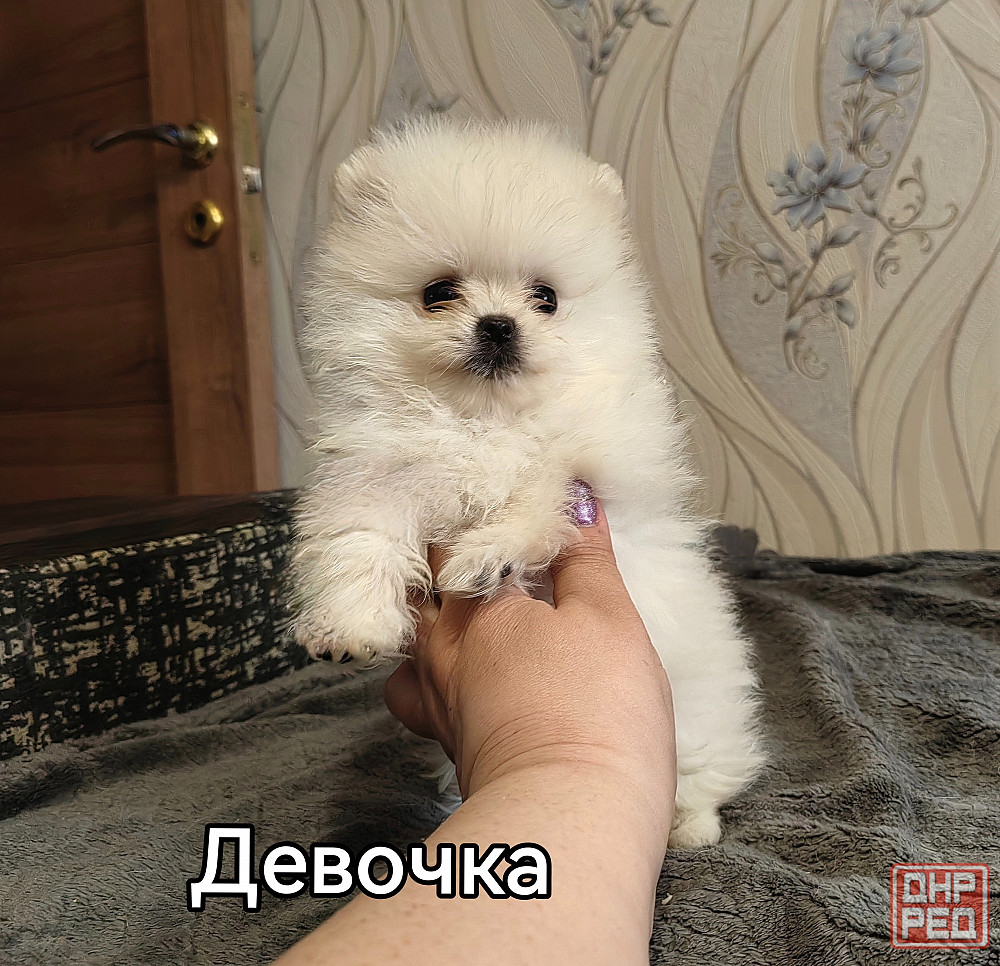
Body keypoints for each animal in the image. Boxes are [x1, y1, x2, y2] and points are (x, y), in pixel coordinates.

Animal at [290, 117, 762, 847]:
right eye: (438, 294)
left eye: (546, 298)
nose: (498, 325)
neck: (485, 419)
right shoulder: (376, 471)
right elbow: (359, 542)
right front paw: (351, 626)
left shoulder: (589, 468)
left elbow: (540, 493)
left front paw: (487, 556)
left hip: (698, 717)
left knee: (702, 778)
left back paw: (692, 828)